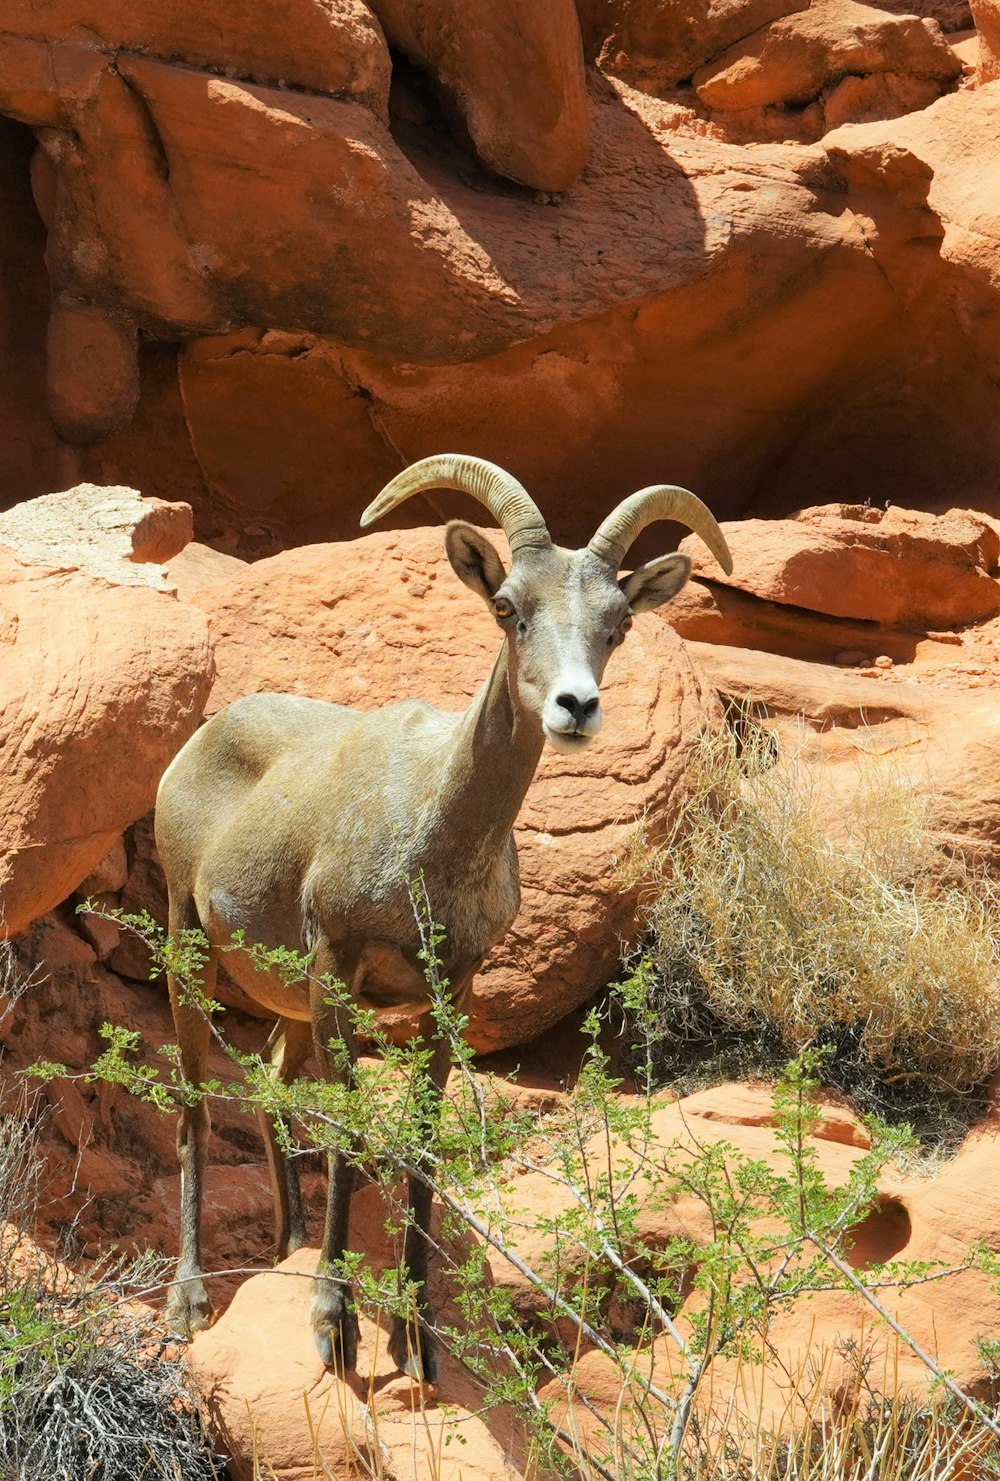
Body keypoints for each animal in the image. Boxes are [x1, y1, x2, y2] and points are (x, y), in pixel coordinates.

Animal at [156, 456, 734, 1380]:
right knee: (192, 1108)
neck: (431, 835)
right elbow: (350, 1136)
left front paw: (417, 1341)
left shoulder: (447, 994)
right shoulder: (338, 968)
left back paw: (285, 1247)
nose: (576, 706)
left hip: (286, 1002)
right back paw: (190, 1303)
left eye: (616, 624)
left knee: (273, 1083)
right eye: (508, 607)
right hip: (187, 941)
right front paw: (335, 1328)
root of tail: (199, 744)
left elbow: (421, 1153)